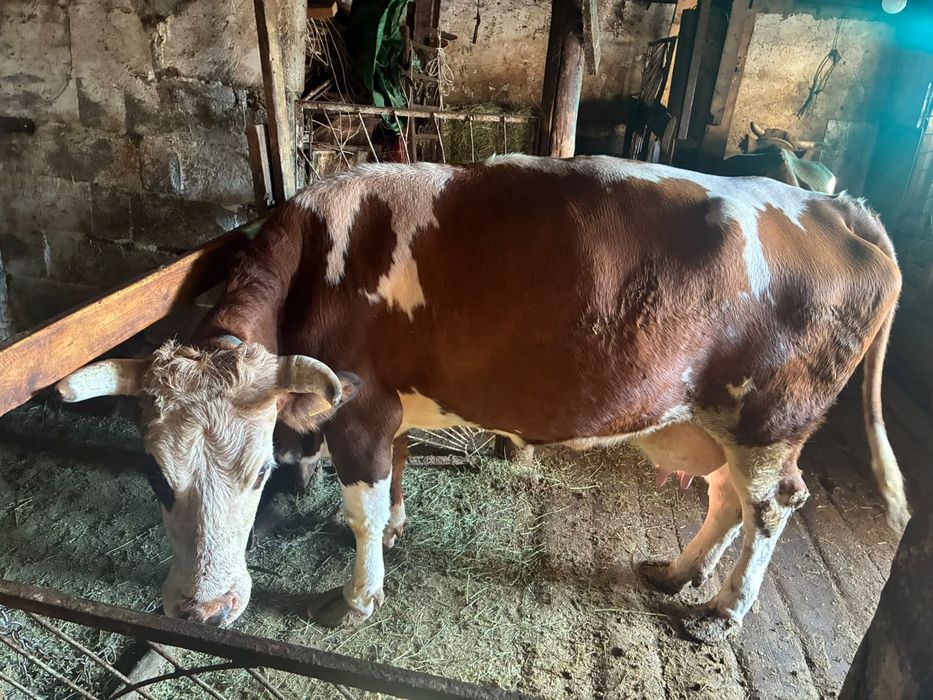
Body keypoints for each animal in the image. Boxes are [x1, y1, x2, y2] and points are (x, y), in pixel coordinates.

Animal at [54, 155, 907, 643]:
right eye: (156, 476)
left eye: (261, 474)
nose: (203, 615)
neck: (320, 256)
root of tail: (838, 207)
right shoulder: (392, 405)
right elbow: (394, 480)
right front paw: (395, 529)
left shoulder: (361, 407)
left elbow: (362, 504)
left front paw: (357, 597)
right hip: (715, 417)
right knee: (726, 496)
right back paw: (675, 573)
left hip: (770, 419)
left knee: (771, 506)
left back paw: (720, 612)